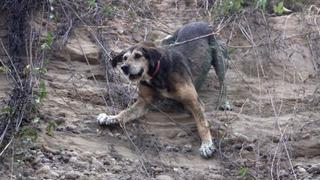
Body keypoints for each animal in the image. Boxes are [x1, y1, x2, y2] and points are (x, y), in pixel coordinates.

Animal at [96, 21, 231, 159]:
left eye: (138, 56)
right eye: (124, 58)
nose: (124, 67)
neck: (158, 73)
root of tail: (200, 22)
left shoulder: (194, 102)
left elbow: (202, 124)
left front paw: (206, 145)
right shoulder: (143, 103)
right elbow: (126, 112)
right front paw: (111, 117)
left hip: (218, 57)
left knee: (223, 82)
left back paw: (223, 102)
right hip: (169, 40)